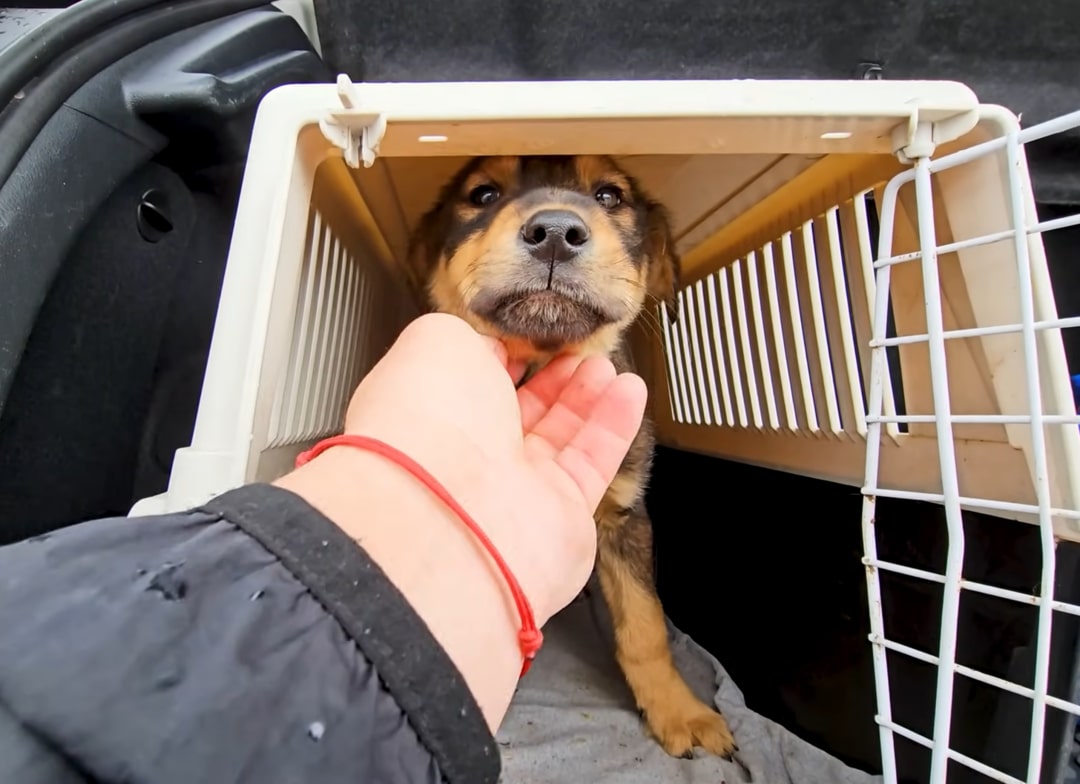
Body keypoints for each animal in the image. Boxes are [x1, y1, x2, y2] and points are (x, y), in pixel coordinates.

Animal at [403, 155, 734, 760]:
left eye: (609, 196)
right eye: (481, 195)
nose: (555, 231)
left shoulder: (625, 515)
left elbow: (645, 626)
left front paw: (680, 711)